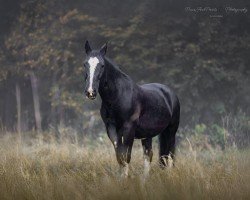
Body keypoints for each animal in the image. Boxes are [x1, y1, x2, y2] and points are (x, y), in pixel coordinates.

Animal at [83, 40, 180, 177]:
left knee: (169, 156)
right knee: (149, 156)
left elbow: (126, 157)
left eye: (102, 65)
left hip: (171, 131)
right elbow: (120, 156)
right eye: (85, 64)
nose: (90, 92)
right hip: (148, 135)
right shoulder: (111, 128)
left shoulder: (129, 129)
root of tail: (170, 93)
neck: (118, 96)